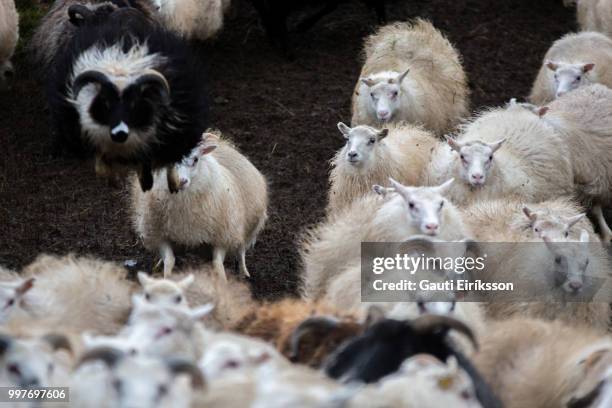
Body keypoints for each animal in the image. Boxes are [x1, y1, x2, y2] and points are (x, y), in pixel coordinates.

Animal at [131, 133, 268, 280]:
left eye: (195, 159)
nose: (181, 181)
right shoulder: (159, 235)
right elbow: (169, 260)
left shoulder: (222, 235)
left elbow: (217, 264)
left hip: (246, 227)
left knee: (241, 250)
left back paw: (244, 272)